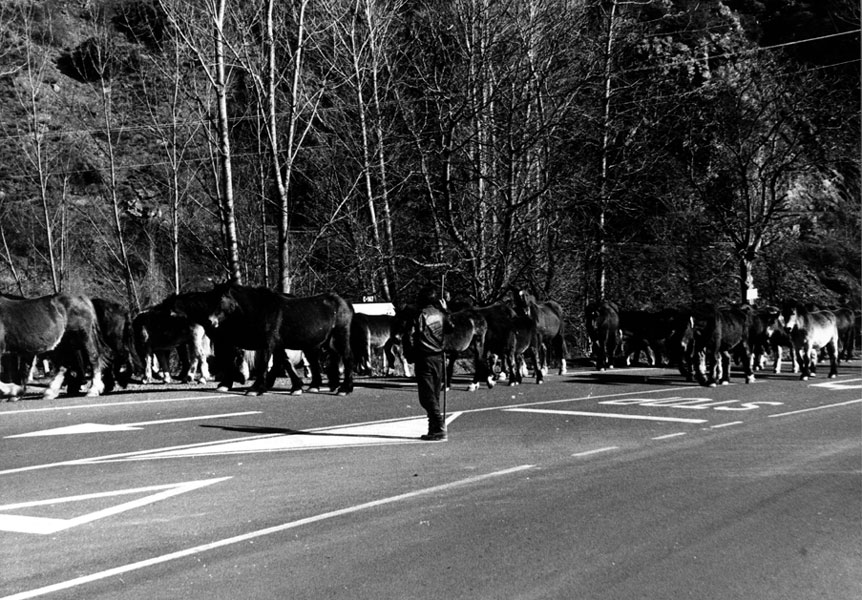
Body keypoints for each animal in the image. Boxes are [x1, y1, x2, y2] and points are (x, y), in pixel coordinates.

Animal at [165, 284, 354, 396]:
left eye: (222, 300)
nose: (212, 321)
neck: (260, 309)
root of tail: (344, 302)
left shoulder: (265, 343)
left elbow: (261, 363)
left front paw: (254, 388)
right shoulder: (274, 344)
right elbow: (284, 362)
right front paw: (296, 387)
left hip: (339, 336)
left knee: (346, 357)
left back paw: (345, 388)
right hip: (321, 342)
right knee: (322, 360)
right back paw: (322, 385)